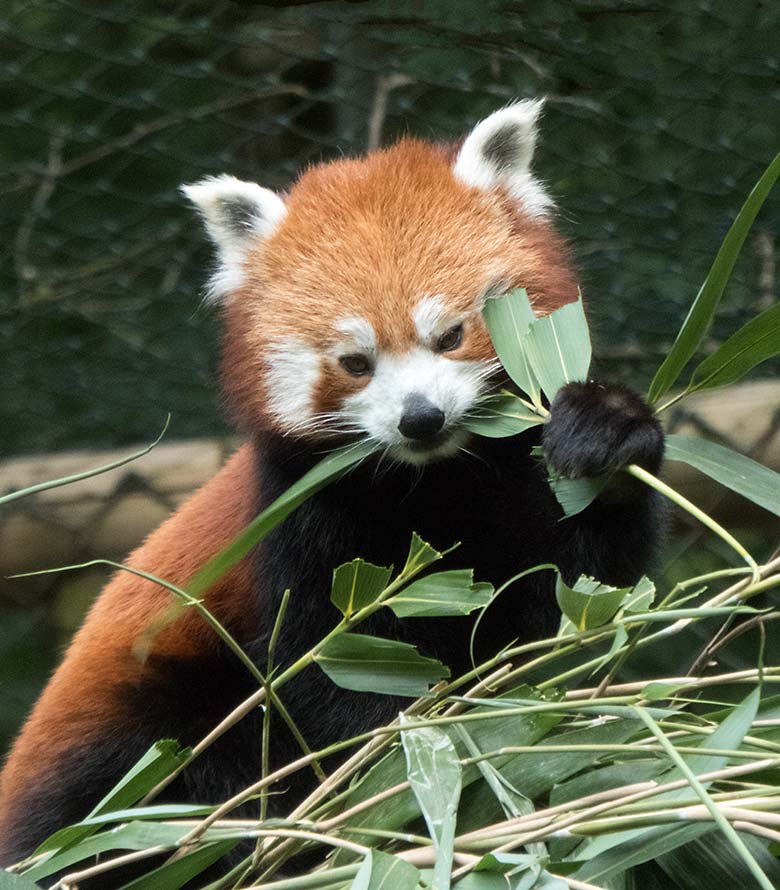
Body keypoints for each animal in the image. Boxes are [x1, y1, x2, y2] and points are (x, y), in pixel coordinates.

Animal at [0, 102, 664, 868]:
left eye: (450, 336)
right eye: (354, 362)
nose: (420, 417)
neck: (437, 479)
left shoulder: (520, 482)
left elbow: (586, 589)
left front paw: (605, 432)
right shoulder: (297, 510)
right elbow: (328, 665)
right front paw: (399, 768)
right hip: (137, 724)